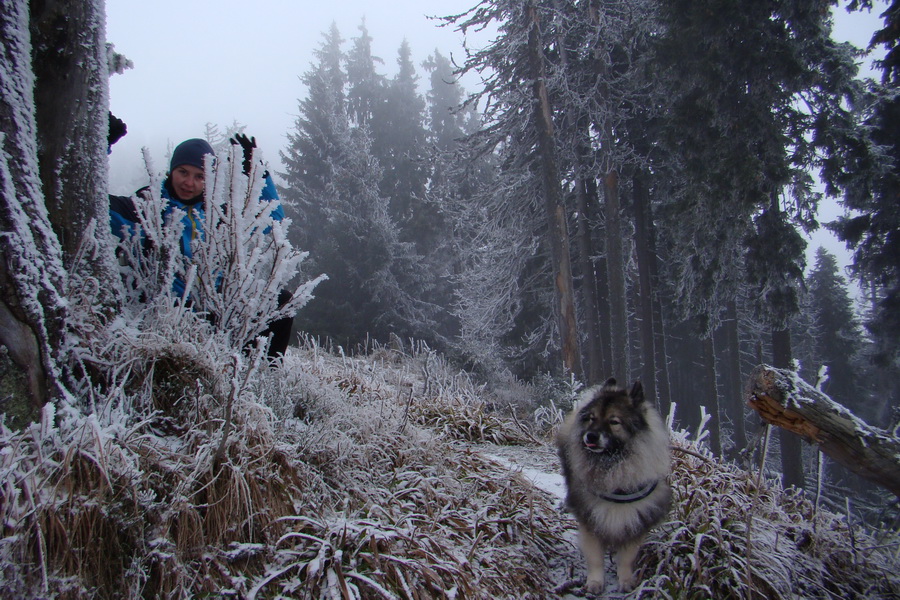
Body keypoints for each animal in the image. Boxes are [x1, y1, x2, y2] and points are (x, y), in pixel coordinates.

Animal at [552, 378, 672, 592]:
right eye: (592, 418)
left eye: (614, 421)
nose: (590, 436)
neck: (612, 467)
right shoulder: (591, 519)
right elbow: (595, 558)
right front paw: (595, 582)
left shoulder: (635, 519)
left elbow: (627, 558)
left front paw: (625, 580)